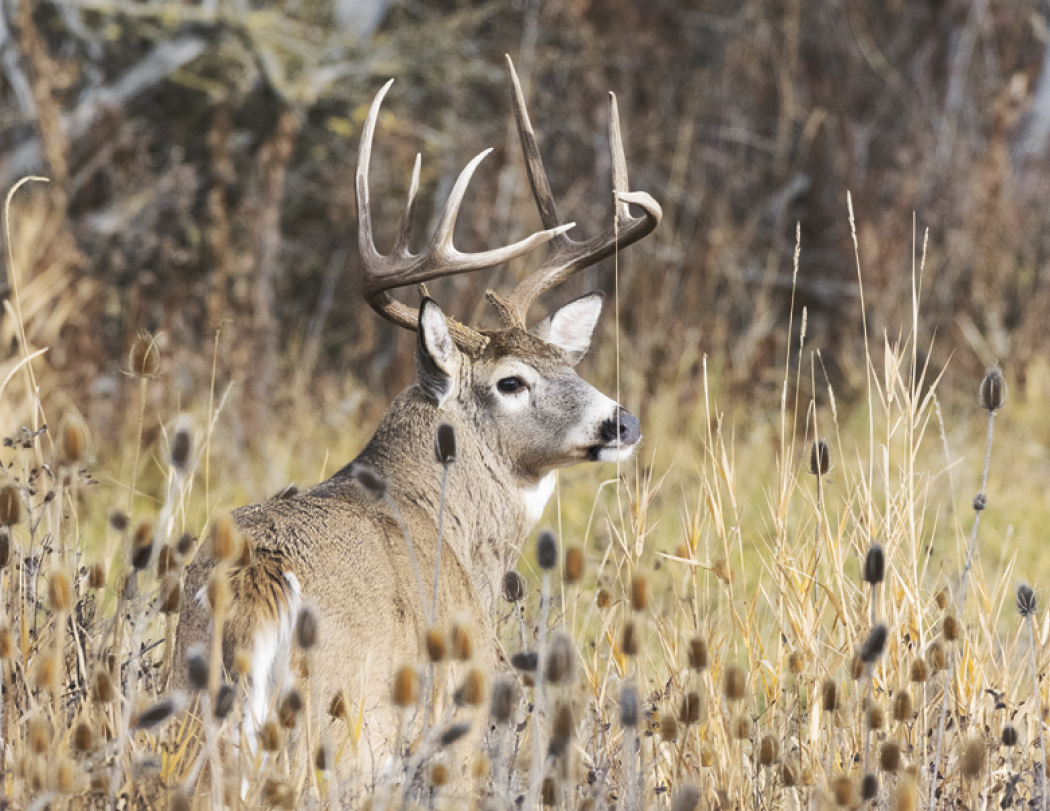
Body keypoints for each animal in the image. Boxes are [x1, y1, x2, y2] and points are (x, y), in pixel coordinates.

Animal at [172, 57, 661, 789]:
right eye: (510, 381)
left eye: (564, 362)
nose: (620, 422)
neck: (450, 525)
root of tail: (258, 575)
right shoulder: (457, 714)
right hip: (339, 728)